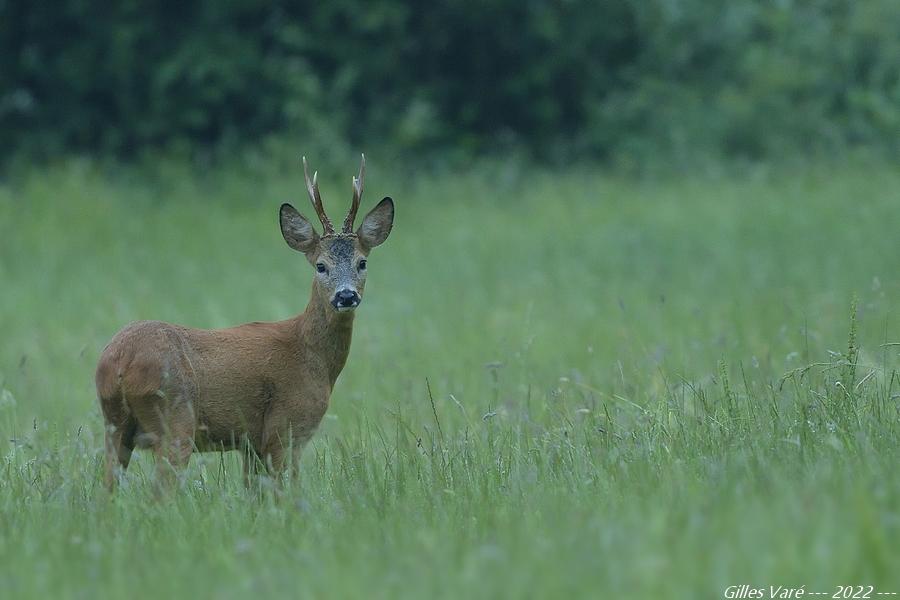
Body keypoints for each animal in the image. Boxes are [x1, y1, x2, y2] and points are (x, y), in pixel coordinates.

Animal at [95, 157, 394, 490]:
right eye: (321, 266)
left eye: (362, 262)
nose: (346, 295)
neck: (312, 355)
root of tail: (120, 363)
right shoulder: (287, 427)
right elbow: (286, 491)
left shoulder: (251, 443)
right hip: (175, 419)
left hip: (115, 425)